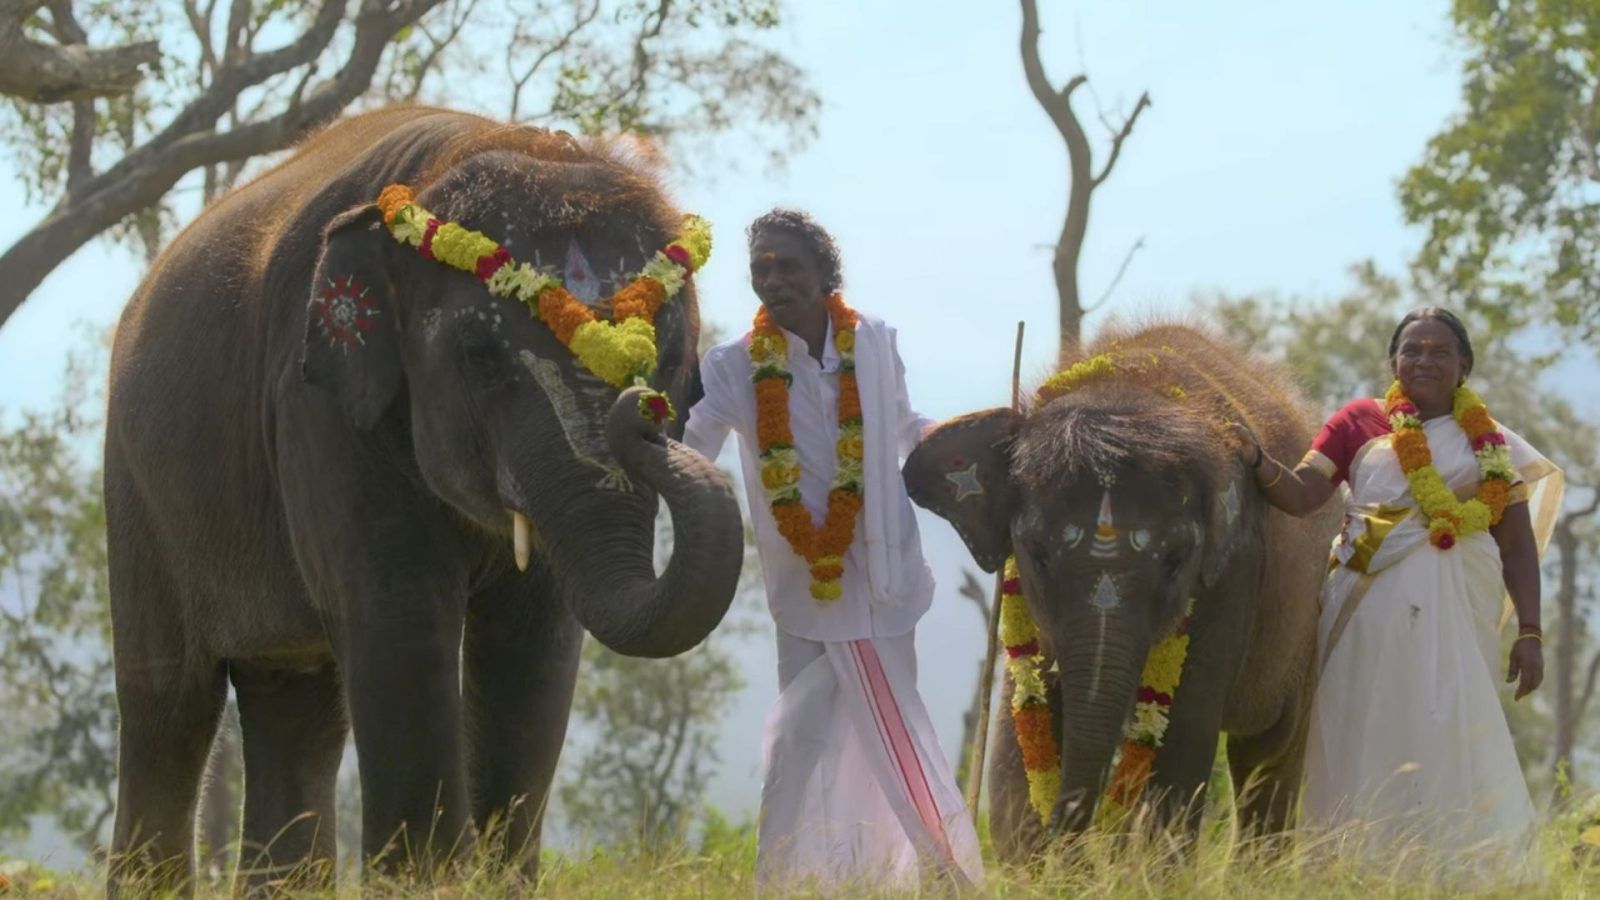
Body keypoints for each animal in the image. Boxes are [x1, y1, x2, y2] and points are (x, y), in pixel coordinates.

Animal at [102, 106, 743, 891]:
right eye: (480, 357)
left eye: (675, 356)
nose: (640, 404)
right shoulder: (318, 405)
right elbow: (399, 615)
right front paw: (428, 884)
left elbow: (536, 637)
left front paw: (497, 886)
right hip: (137, 487)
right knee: (170, 703)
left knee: (296, 700)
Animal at [904, 323, 1341, 860]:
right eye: (1037, 552)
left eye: (1176, 560)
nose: (1074, 842)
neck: (1127, 385)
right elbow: (1019, 724)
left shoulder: (1236, 569)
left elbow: (1183, 735)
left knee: (1268, 754)